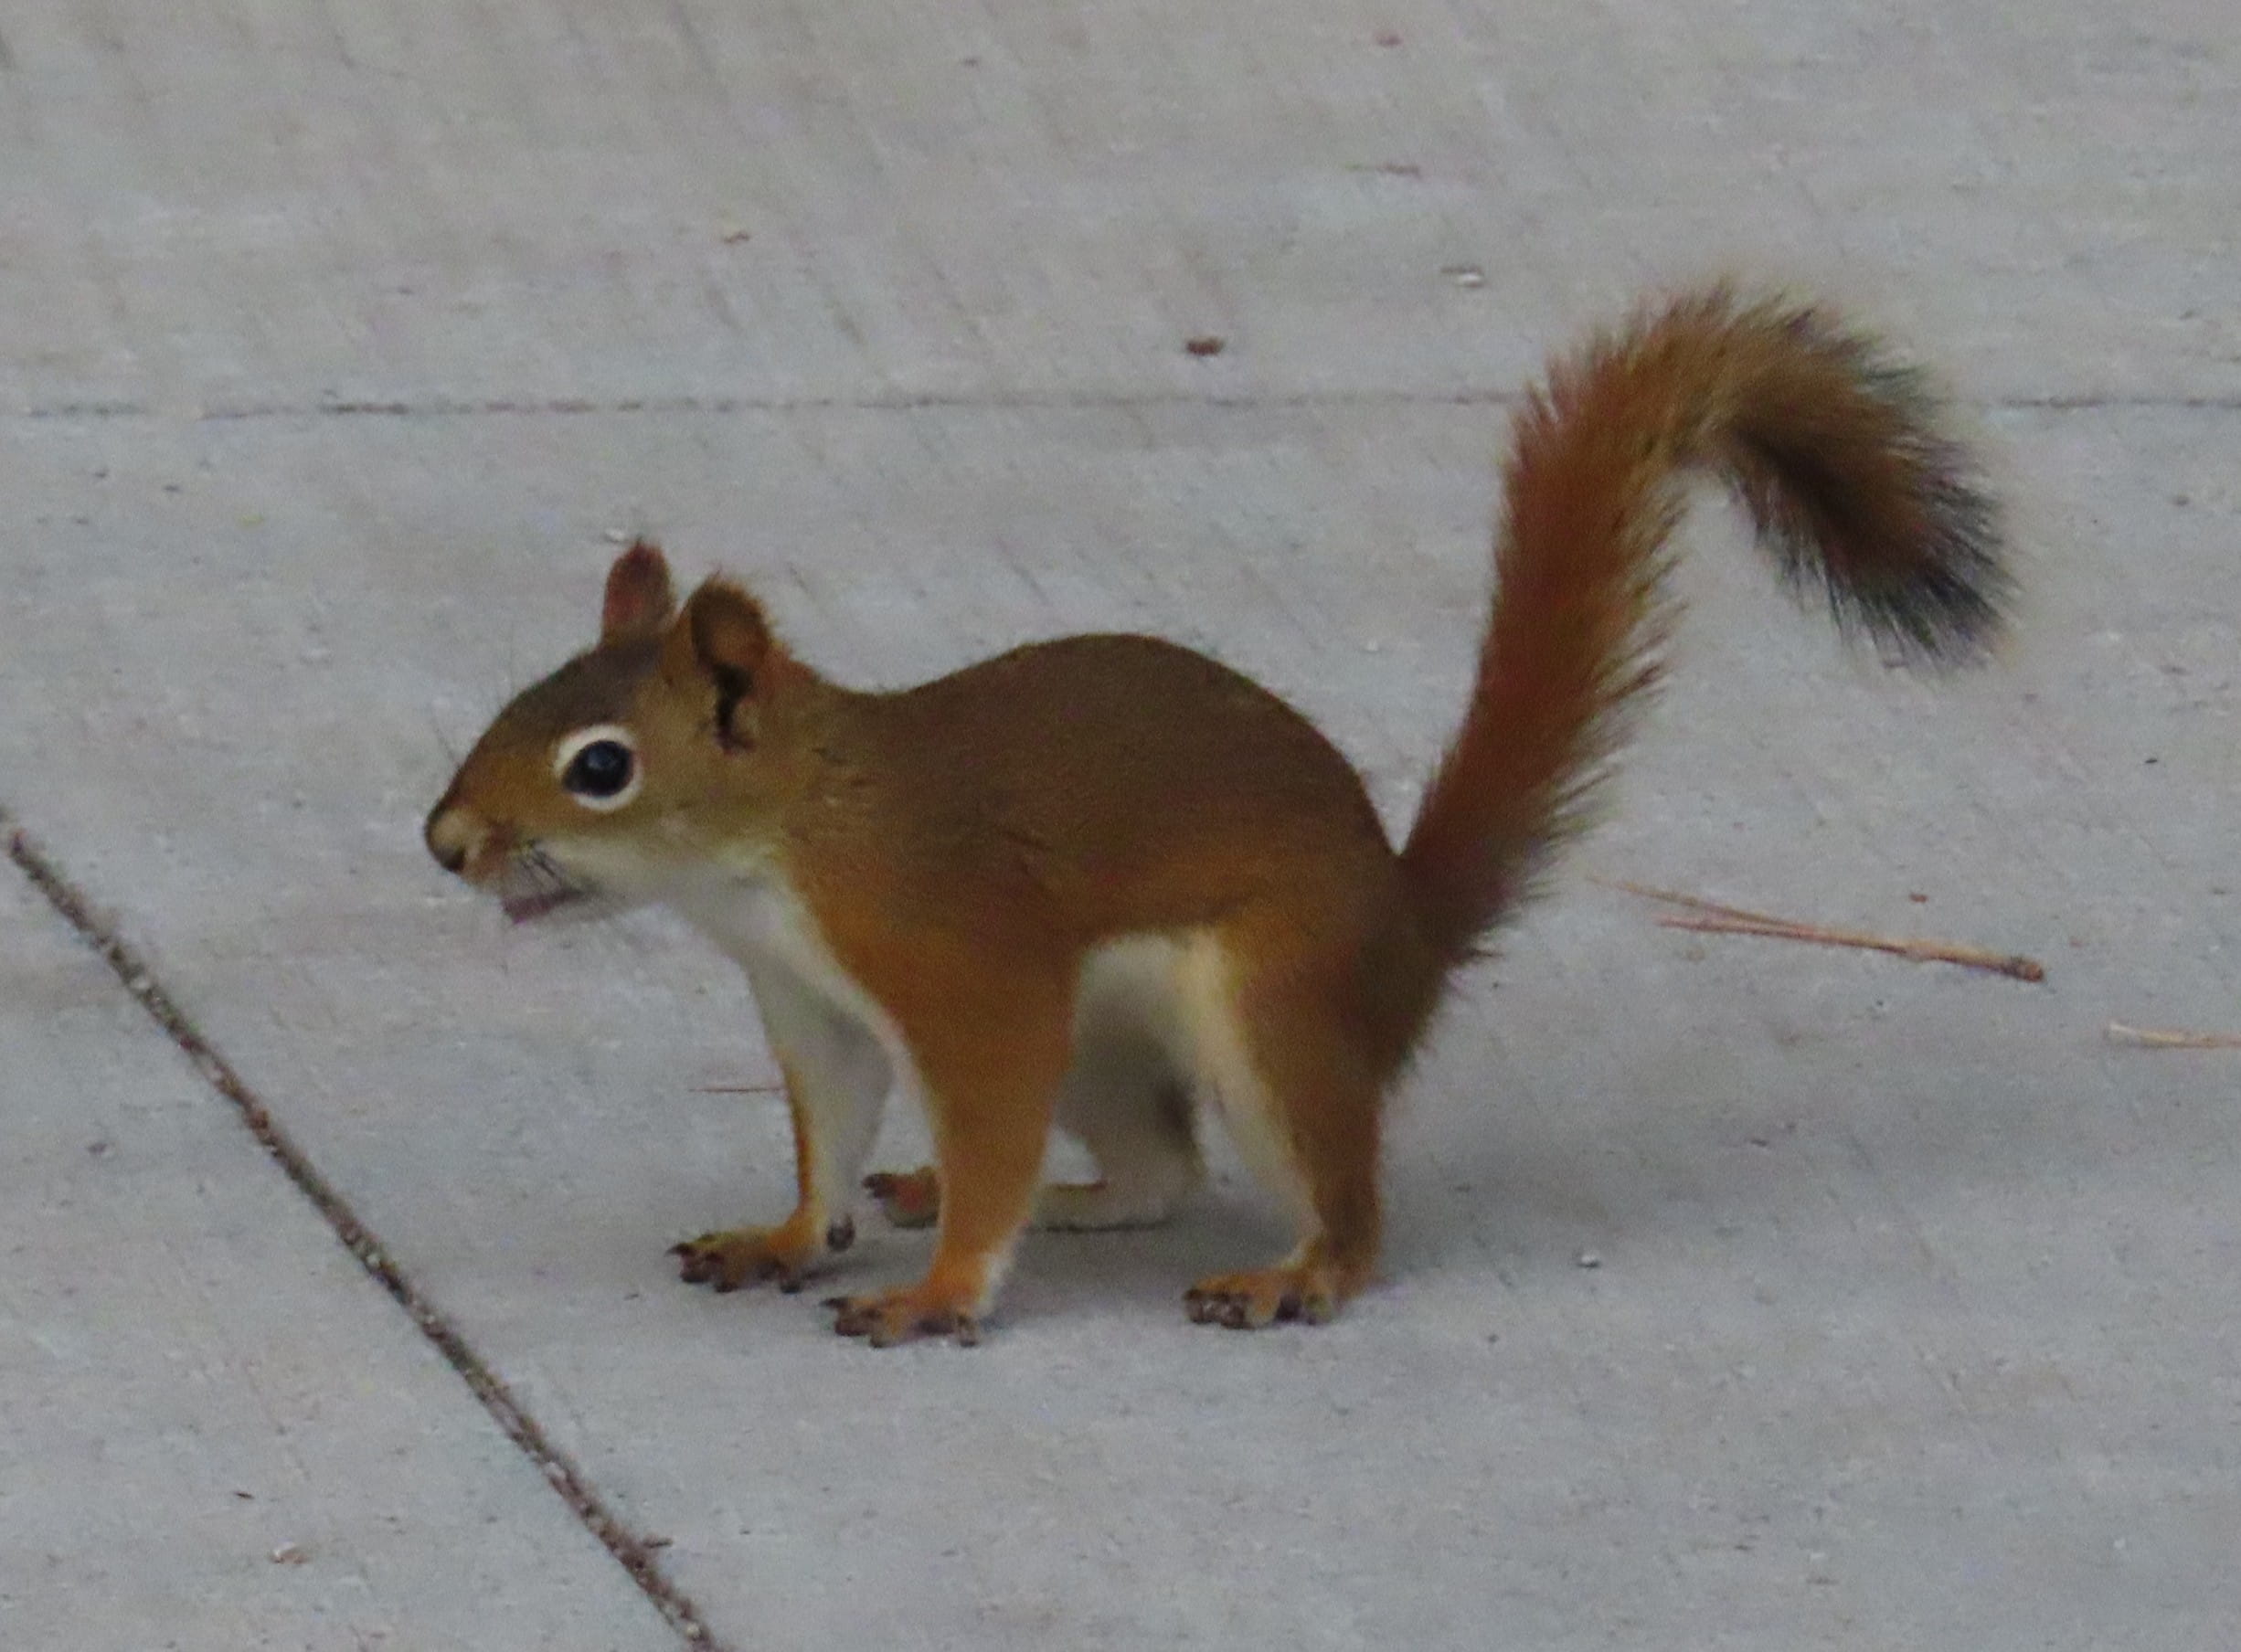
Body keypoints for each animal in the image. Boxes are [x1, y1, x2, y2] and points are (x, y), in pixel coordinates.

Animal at [425, 285, 2007, 1347]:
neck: (784, 846)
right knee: (1159, 1171)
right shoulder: (811, 1001)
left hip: (1269, 1007)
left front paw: (939, 1296)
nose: (445, 844)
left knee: (1327, 1192)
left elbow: (986, 1112)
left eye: (601, 767)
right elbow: (830, 1125)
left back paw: (1291, 1274)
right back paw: (1017, 1196)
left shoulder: (965, 963)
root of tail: (1405, 939)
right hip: (1115, 1048)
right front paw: (786, 1237)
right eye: (513, 700)